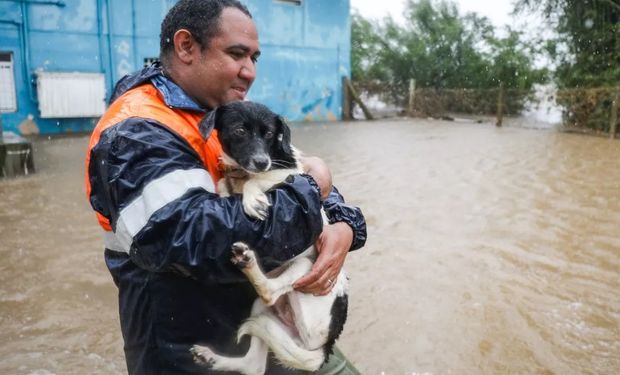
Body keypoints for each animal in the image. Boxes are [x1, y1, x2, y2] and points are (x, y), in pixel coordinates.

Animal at [190, 100, 348, 375]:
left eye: (270, 134)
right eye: (240, 131)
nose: (262, 161)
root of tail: (326, 345)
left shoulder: (290, 177)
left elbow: (257, 182)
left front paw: (252, 197)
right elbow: (223, 184)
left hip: (305, 268)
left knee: (270, 291)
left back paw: (247, 261)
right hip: (262, 310)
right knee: (253, 364)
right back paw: (210, 358)